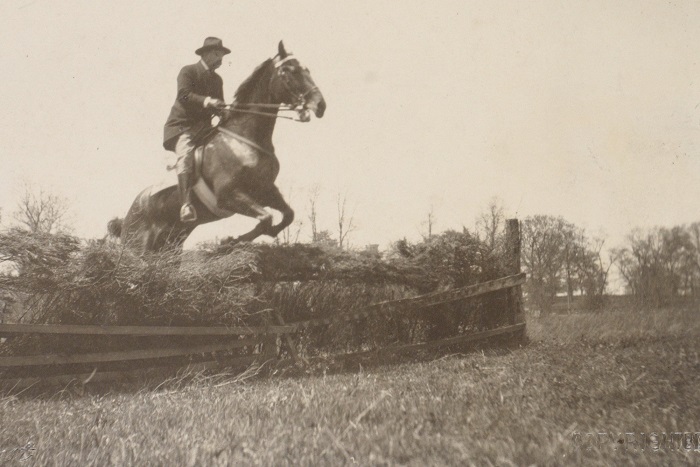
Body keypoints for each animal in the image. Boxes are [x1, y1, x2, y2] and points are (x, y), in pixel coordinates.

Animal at [108, 41, 326, 253]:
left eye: (306, 69)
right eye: (289, 71)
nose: (320, 105)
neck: (244, 140)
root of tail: (128, 215)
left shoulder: (265, 191)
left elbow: (288, 214)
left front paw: (255, 236)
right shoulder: (228, 194)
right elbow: (266, 217)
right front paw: (229, 241)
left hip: (171, 246)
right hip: (137, 249)